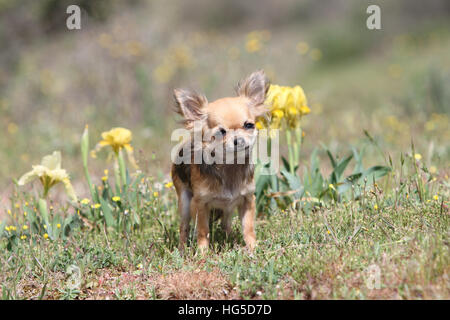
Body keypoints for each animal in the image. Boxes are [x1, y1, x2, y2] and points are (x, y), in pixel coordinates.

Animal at [172, 70, 268, 252]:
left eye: (249, 125)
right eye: (221, 132)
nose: (238, 140)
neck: (230, 166)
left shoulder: (247, 200)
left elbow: (248, 227)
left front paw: (253, 248)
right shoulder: (200, 203)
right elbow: (203, 231)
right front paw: (202, 253)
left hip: (227, 208)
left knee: (226, 223)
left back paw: (229, 238)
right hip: (185, 202)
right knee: (184, 227)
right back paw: (181, 250)